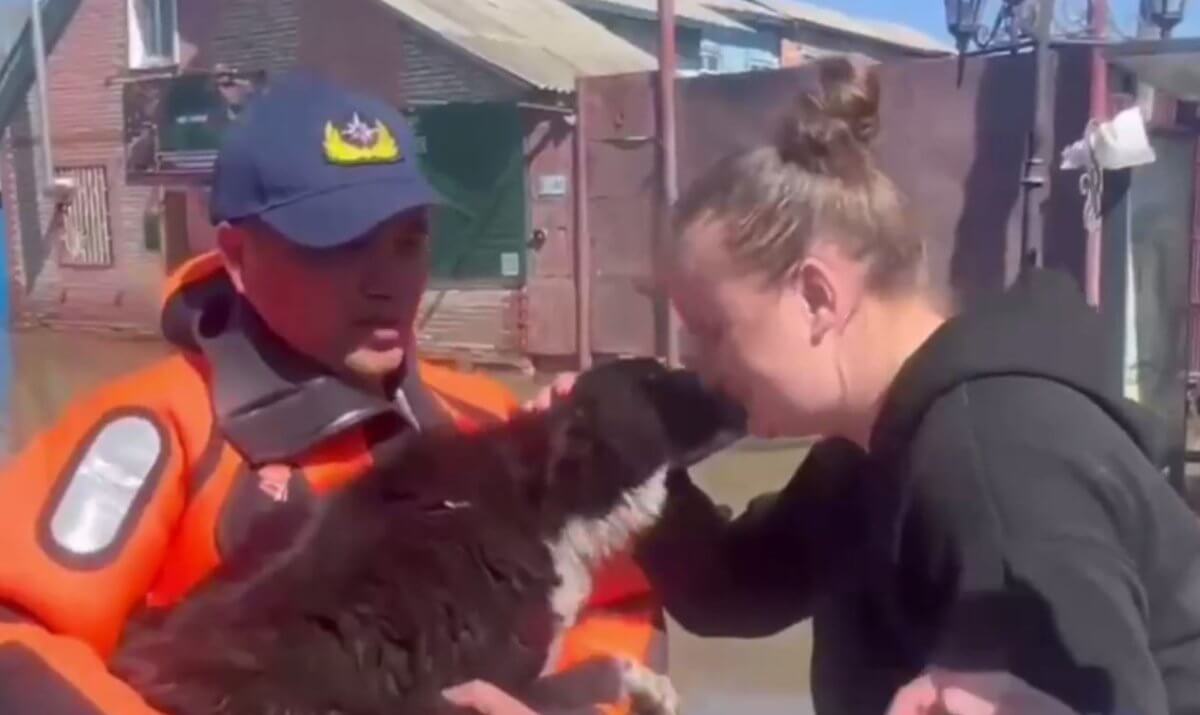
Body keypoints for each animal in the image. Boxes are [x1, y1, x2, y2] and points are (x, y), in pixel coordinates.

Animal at [114, 359, 748, 710]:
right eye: (662, 380)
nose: (741, 394)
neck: (540, 502)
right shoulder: (496, 688)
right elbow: (604, 672)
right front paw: (651, 690)